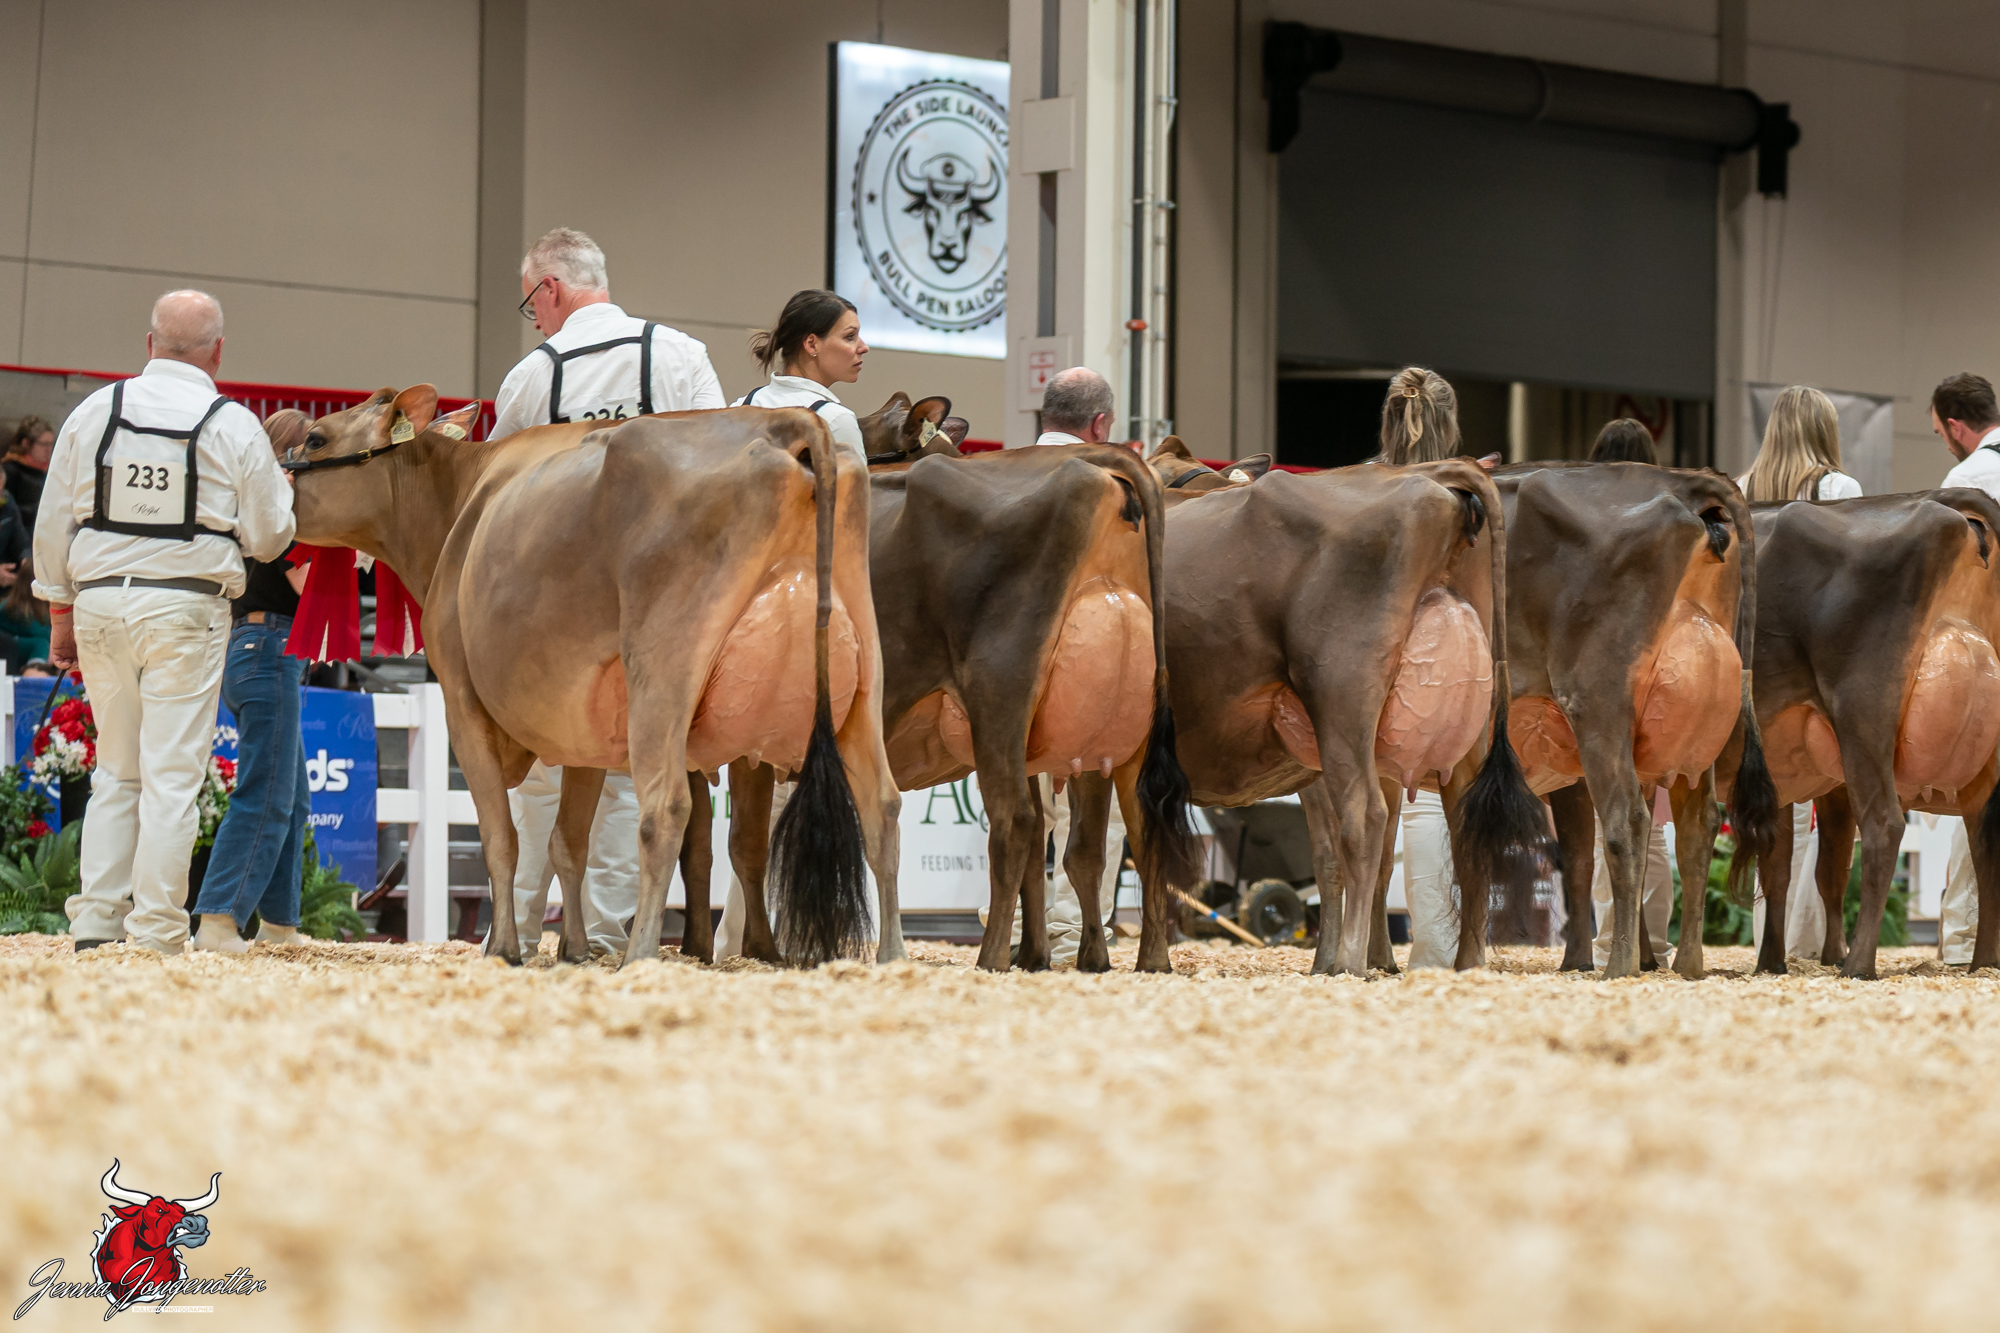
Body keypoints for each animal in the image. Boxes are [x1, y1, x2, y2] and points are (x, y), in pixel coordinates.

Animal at [285, 388, 901, 970]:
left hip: (663, 670)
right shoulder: (583, 727)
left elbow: (501, 838)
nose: (281, 478)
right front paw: (574, 949)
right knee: (882, 806)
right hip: (864, 673)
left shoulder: (460, 700)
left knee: (665, 809)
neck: (458, 502)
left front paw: (503, 947)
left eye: (315, 438)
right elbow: (568, 843)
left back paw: (641, 953)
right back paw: (891, 955)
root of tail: (784, 422)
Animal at [1067, 444, 1552, 976]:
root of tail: (1435, 479)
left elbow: (1100, 849)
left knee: (1367, 817)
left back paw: (1355, 960)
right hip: (1467, 723)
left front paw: (1121, 958)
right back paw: (1464, 961)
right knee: (1465, 829)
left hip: (1342, 694)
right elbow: (1323, 856)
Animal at [1493, 462, 1779, 979]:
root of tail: (1681, 480)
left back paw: (1621, 964)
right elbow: (1578, 856)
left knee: (1627, 820)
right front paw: (1575, 960)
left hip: (1596, 706)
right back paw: (1686, 962)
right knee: (1697, 825)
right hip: (1693, 725)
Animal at [1719, 488, 2000, 978]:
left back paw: (1859, 962)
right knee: (1986, 846)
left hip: (1861, 711)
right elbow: (1791, 865)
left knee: (1885, 825)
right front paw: (1772, 962)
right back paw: (1983, 962)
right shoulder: (1789, 774)